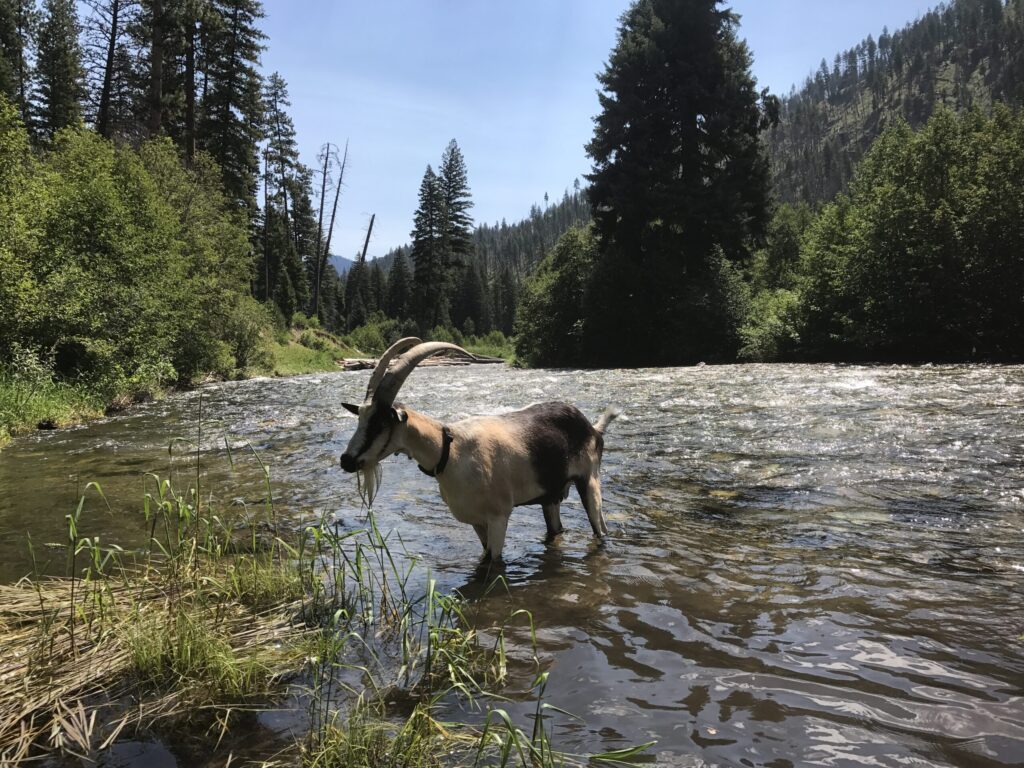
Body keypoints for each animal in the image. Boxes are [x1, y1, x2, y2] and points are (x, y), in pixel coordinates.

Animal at [339, 339, 618, 561]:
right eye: (360, 418)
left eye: (379, 424)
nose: (346, 461)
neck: (450, 451)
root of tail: (592, 428)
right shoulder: (477, 521)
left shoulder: (498, 518)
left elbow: (493, 564)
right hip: (550, 496)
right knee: (556, 530)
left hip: (589, 481)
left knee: (600, 529)